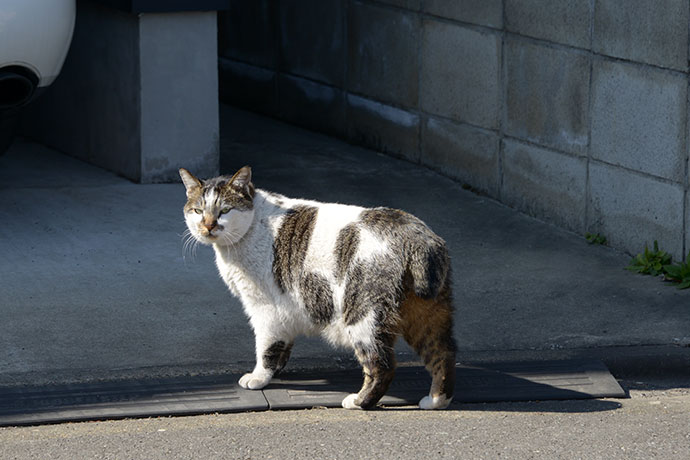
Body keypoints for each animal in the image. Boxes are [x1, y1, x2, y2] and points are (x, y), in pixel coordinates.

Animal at [180, 166, 454, 410]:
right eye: (198, 210)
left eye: (225, 210)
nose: (208, 226)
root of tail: (417, 237)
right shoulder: (286, 308)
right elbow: (283, 342)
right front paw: (277, 368)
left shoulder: (264, 308)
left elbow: (265, 346)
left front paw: (259, 377)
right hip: (428, 316)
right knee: (443, 354)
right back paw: (436, 401)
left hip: (363, 316)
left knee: (383, 366)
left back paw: (358, 402)